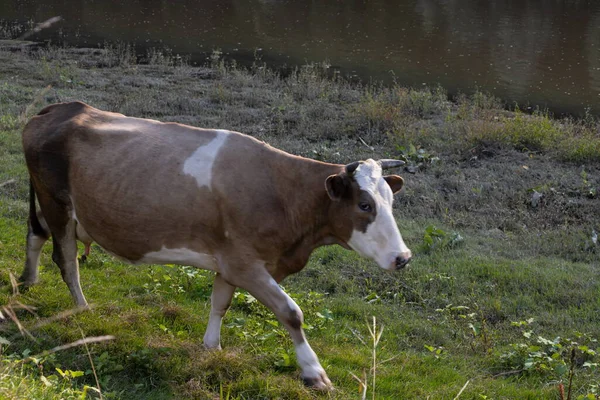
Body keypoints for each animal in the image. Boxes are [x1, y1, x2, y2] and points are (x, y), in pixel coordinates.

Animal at [19, 101, 412, 390]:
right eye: (365, 205)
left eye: (391, 200)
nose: (403, 257)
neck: (284, 195)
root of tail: (63, 107)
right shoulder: (246, 264)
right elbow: (291, 313)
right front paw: (315, 373)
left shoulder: (230, 261)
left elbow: (220, 303)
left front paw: (211, 348)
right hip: (57, 203)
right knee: (67, 259)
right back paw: (81, 308)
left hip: (59, 207)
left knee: (36, 232)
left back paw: (27, 282)